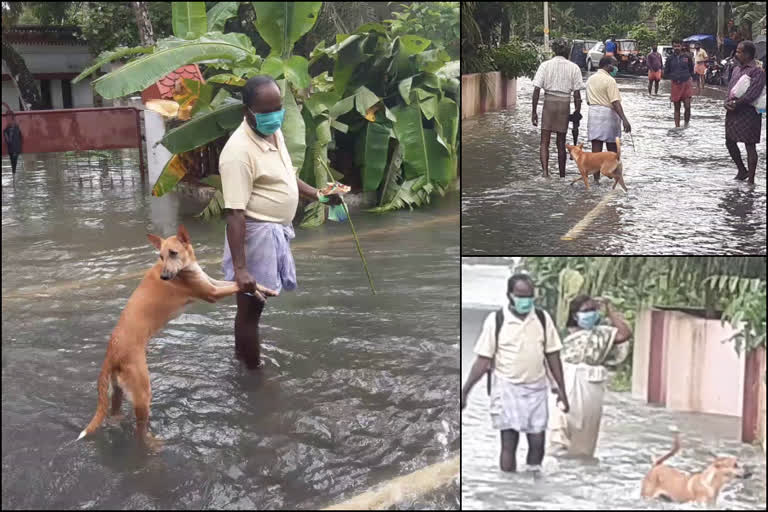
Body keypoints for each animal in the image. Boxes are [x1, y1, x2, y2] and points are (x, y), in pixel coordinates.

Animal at [77, 226, 280, 450]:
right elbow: (239, 286)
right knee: (139, 431)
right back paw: (153, 444)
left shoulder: (212, 282)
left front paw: (263, 291)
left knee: (114, 416)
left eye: (173, 253)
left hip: (119, 393)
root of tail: (111, 353)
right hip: (143, 393)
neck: (186, 268)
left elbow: (241, 283)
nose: (165, 277)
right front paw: (257, 290)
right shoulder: (212, 292)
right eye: (160, 256)